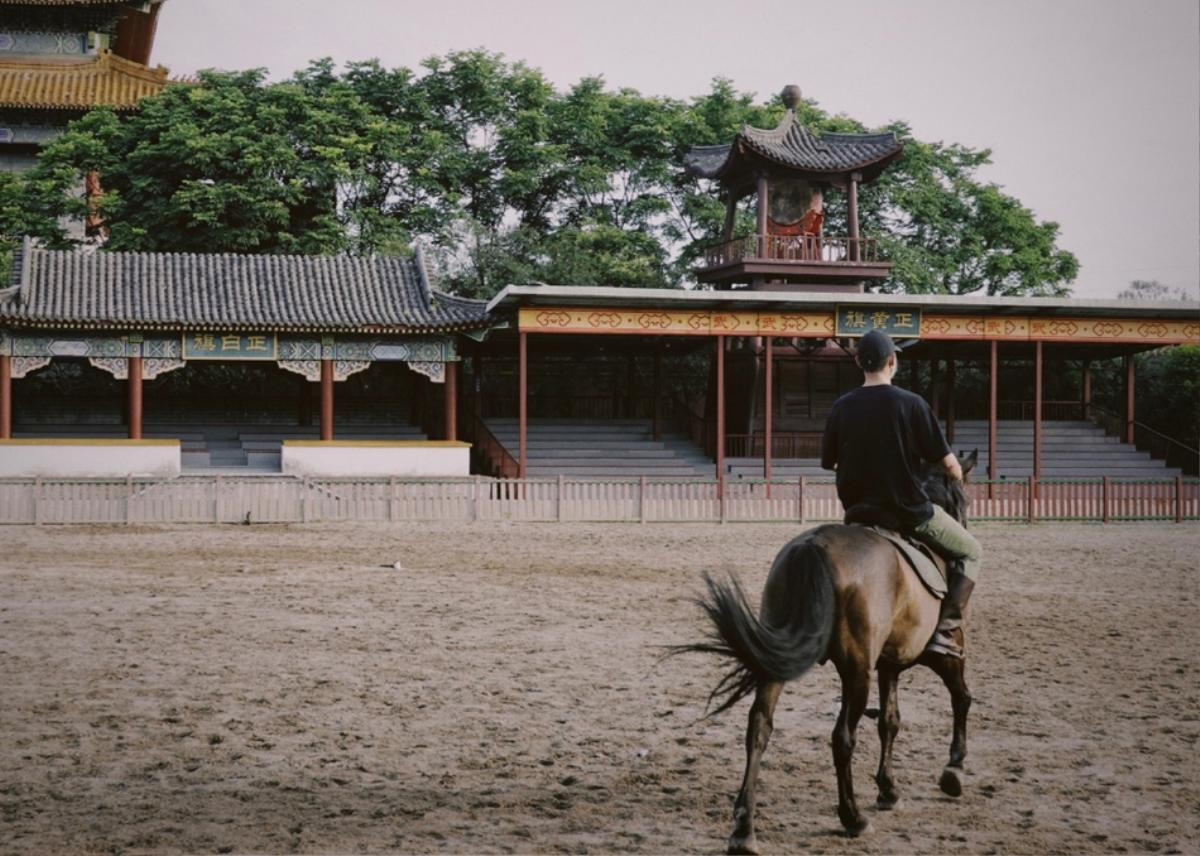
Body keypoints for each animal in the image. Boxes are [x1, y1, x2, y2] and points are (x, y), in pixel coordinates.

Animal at [681, 451, 979, 849]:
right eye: (963, 498)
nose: (964, 521)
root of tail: (814, 546)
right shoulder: (945, 653)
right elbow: (961, 698)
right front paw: (954, 769)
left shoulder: (890, 664)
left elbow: (890, 721)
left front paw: (889, 789)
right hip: (857, 670)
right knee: (842, 739)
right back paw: (853, 817)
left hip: (783, 659)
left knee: (759, 728)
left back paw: (744, 829)